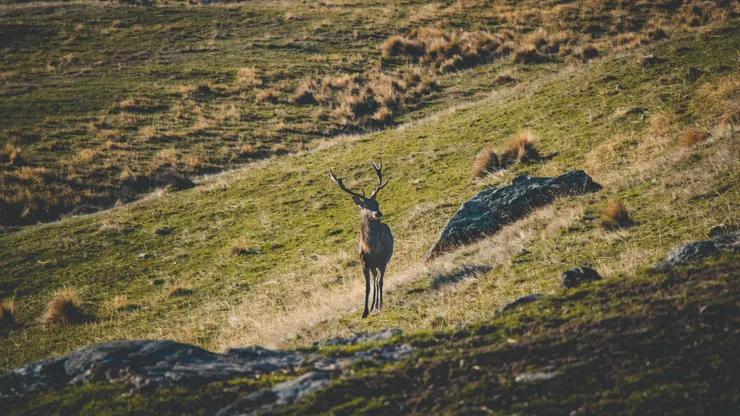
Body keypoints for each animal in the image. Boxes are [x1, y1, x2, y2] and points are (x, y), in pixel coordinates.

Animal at [329, 161, 394, 319]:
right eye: (365, 206)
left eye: (377, 203)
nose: (378, 213)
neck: (371, 248)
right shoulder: (364, 263)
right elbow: (367, 287)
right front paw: (364, 312)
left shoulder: (383, 261)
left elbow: (380, 282)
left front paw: (379, 306)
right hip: (372, 266)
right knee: (374, 279)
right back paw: (372, 306)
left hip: (381, 263)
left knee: (378, 280)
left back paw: (377, 305)